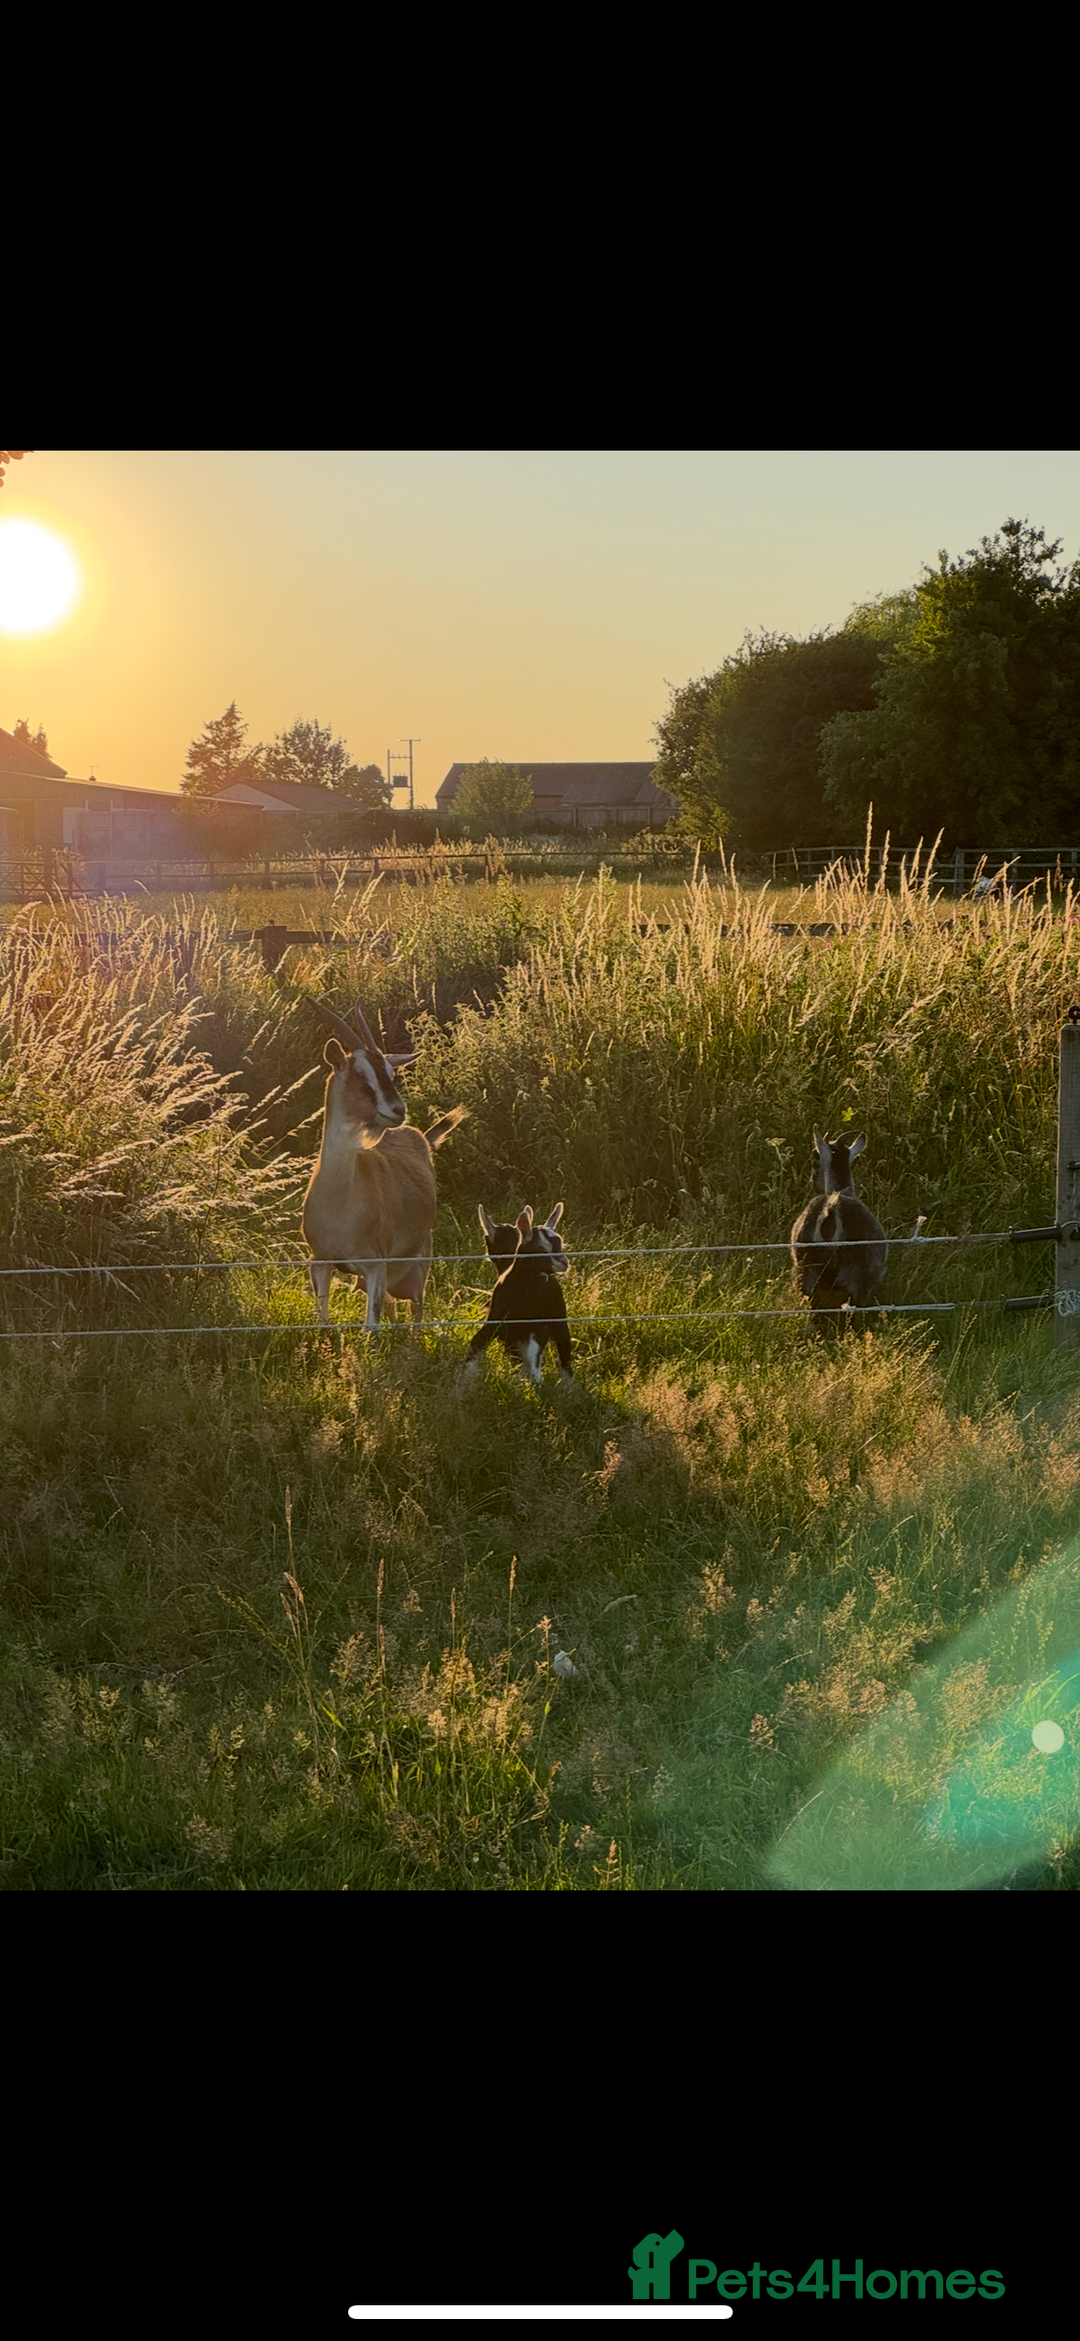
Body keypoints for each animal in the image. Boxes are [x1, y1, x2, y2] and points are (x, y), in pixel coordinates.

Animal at [301, 996, 466, 1331]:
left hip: (420, 1259)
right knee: (393, 1308)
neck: (339, 1200)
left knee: (417, 1309)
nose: (398, 1110)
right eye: (359, 1074)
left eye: (391, 1073)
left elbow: (371, 1328)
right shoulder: (320, 1262)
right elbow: (324, 1323)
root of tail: (420, 1136)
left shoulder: (375, 1265)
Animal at [463, 1204, 572, 1385]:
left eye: (560, 1242)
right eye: (540, 1247)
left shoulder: (547, 1324)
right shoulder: (497, 1319)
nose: (563, 1263)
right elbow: (477, 1343)